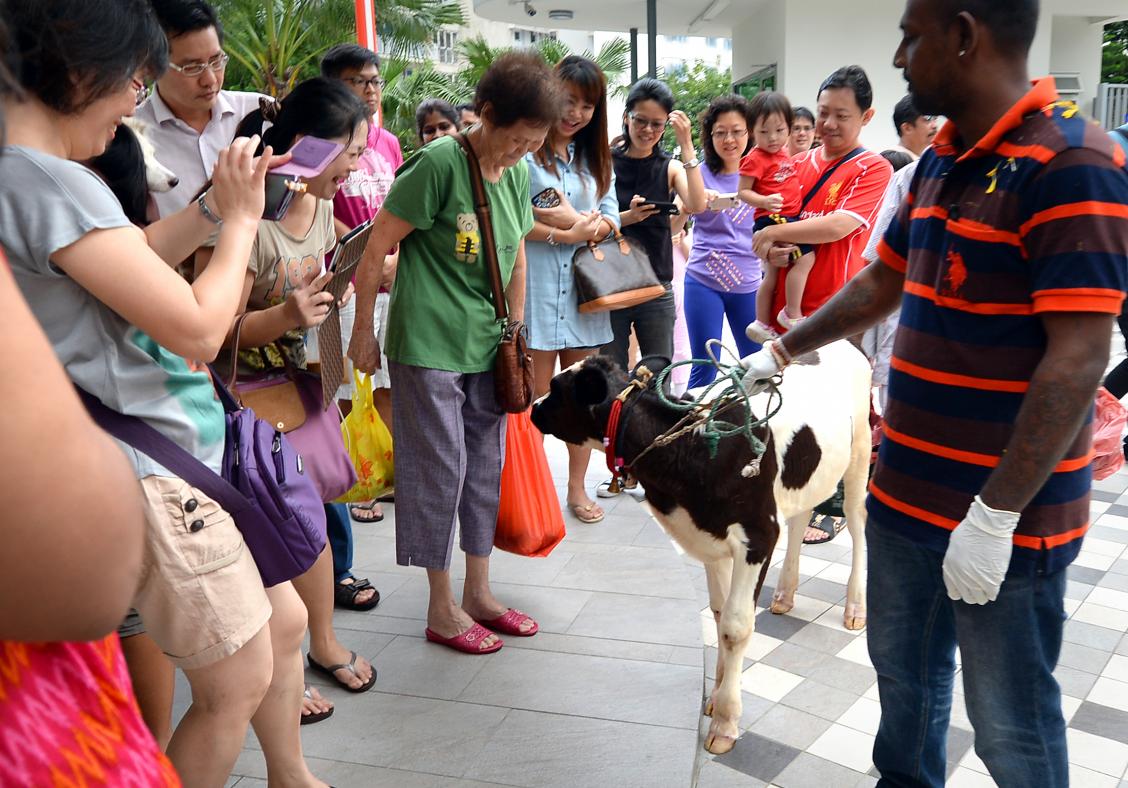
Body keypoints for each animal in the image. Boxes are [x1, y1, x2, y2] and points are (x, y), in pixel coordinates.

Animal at [530, 342, 870, 753]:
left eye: (556, 388)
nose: (533, 406)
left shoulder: (758, 536)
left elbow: (735, 627)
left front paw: (725, 719)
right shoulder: (710, 536)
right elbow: (719, 613)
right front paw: (717, 692)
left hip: (860, 453)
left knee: (858, 523)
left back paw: (855, 607)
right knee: (802, 515)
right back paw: (785, 594)